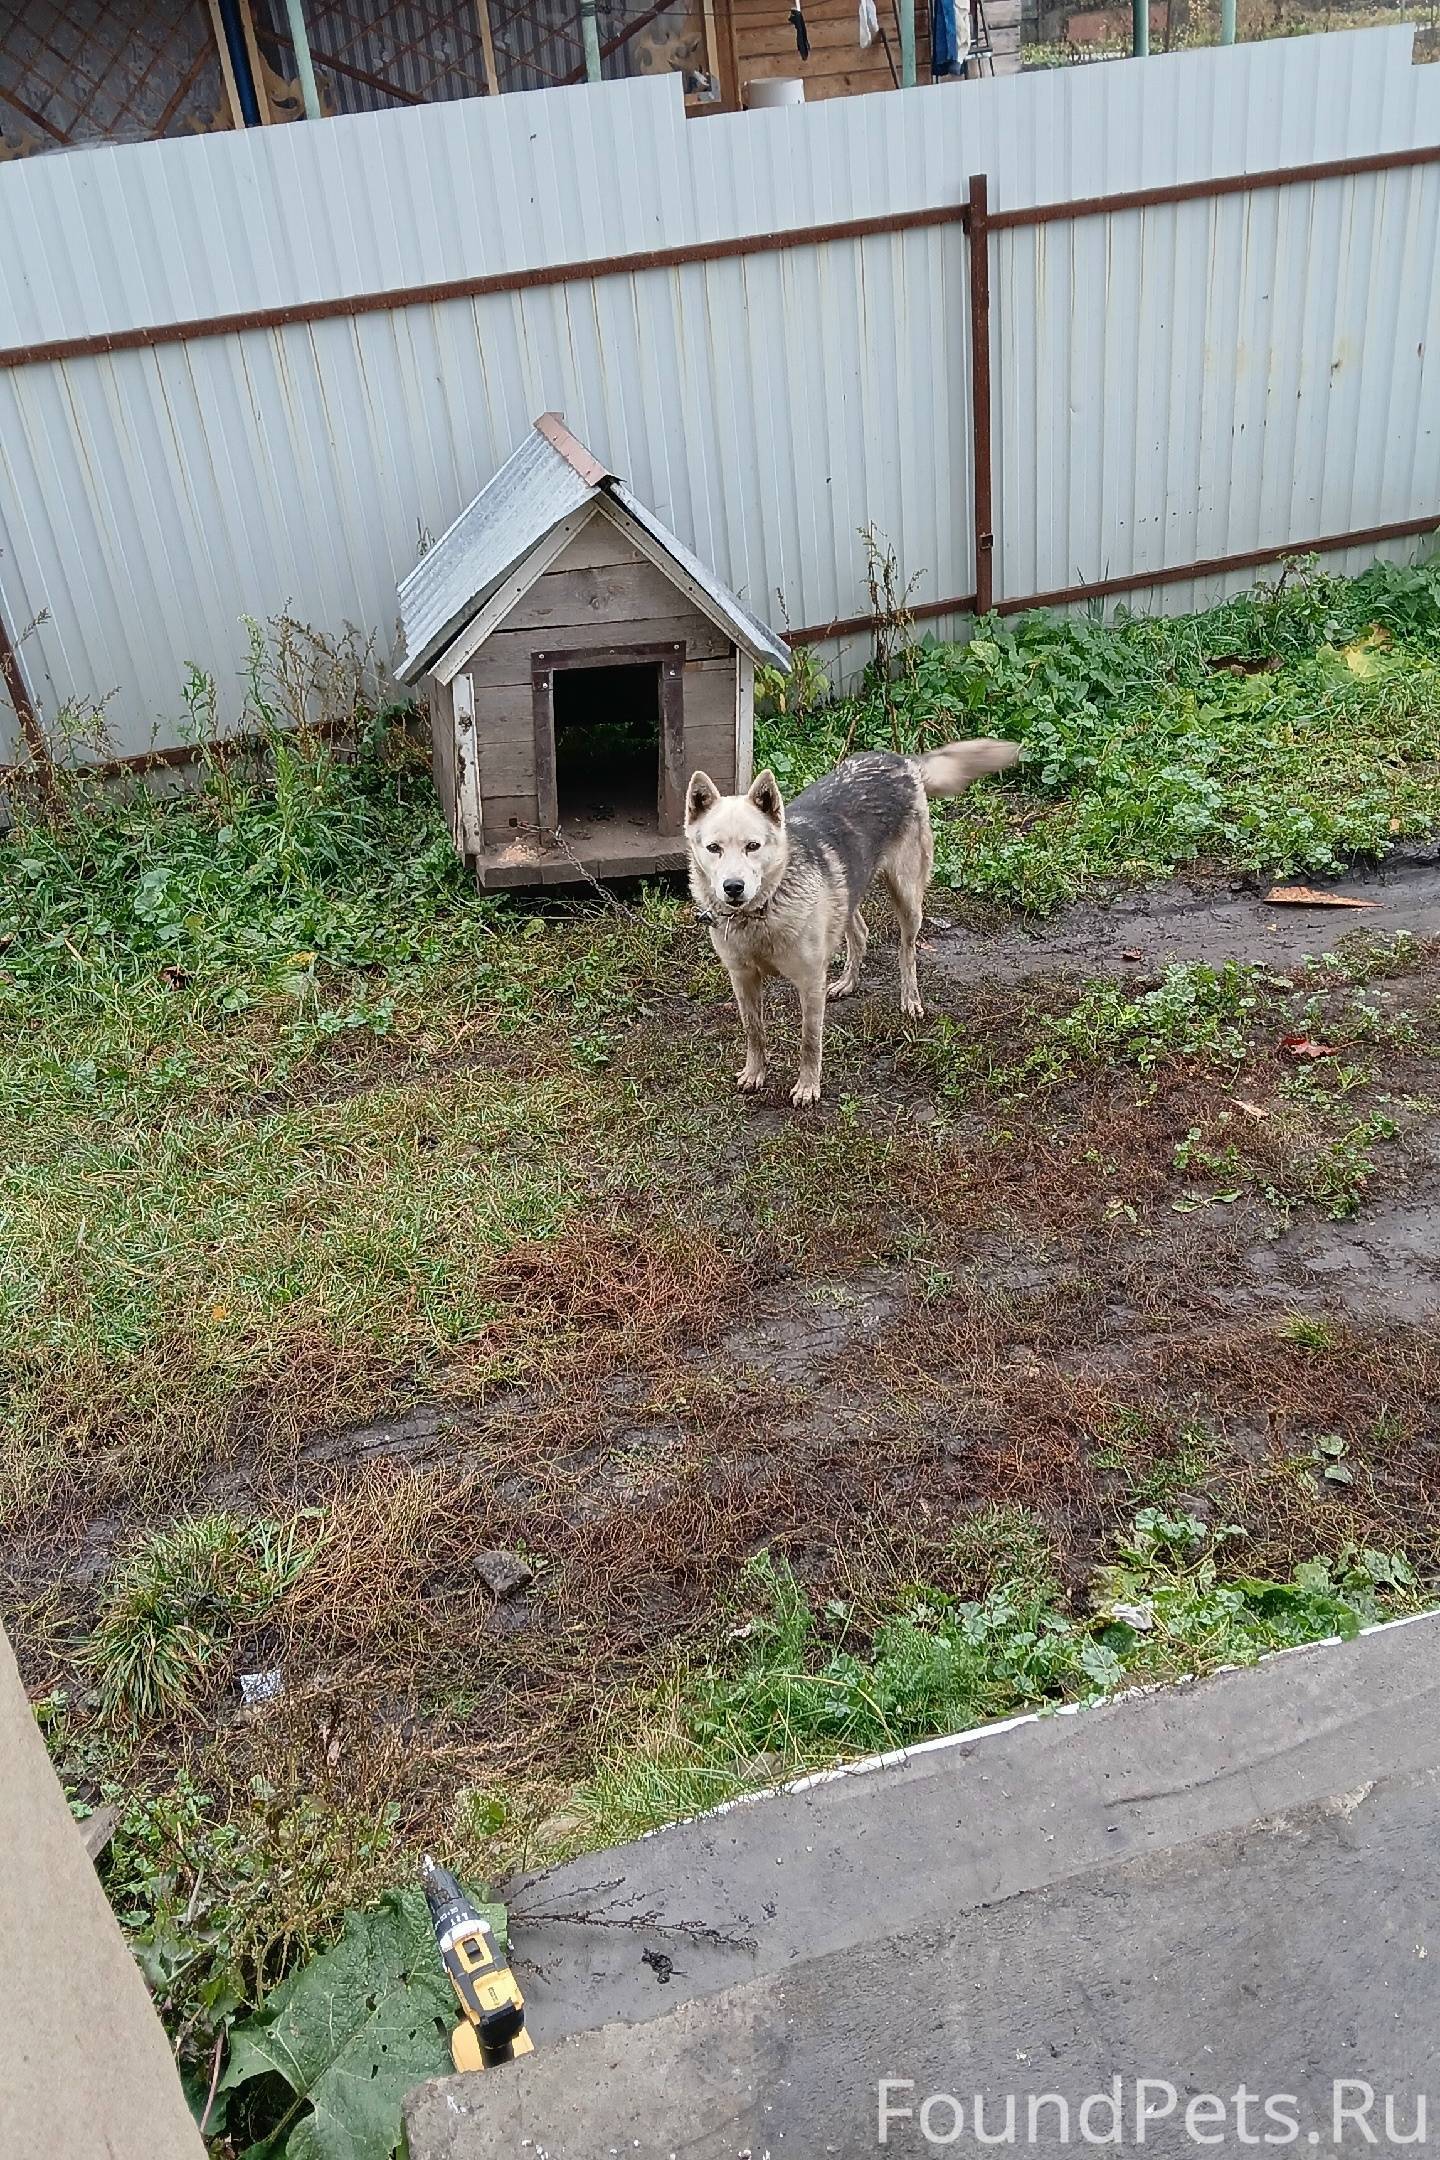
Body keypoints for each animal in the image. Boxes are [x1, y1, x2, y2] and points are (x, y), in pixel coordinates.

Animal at [685, 741, 1019, 1106]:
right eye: (714, 848)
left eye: (753, 846)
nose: (733, 887)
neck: (761, 913)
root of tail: (898, 759)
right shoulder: (743, 978)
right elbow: (754, 1031)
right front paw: (755, 1073)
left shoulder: (810, 982)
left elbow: (810, 1041)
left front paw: (808, 1087)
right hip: (847, 894)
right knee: (860, 932)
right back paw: (847, 982)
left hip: (906, 897)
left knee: (907, 952)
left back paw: (910, 999)